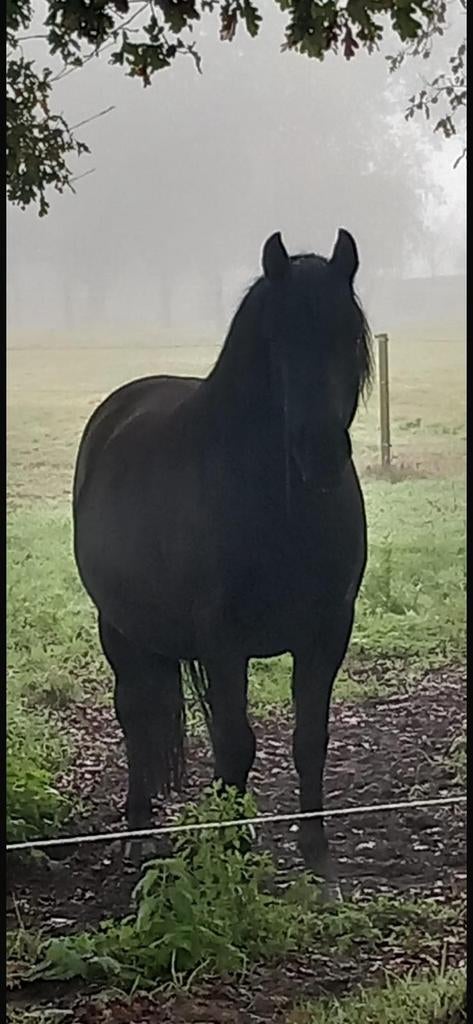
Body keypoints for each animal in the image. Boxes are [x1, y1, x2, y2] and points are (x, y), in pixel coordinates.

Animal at [72, 229, 373, 883]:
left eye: (347, 336)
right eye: (278, 342)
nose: (319, 454)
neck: (280, 507)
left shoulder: (326, 633)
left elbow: (309, 739)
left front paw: (317, 860)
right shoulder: (224, 642)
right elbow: (237, 744)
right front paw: (233, 853)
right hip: (120, 628)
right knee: (134, 717)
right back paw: (139, 832)